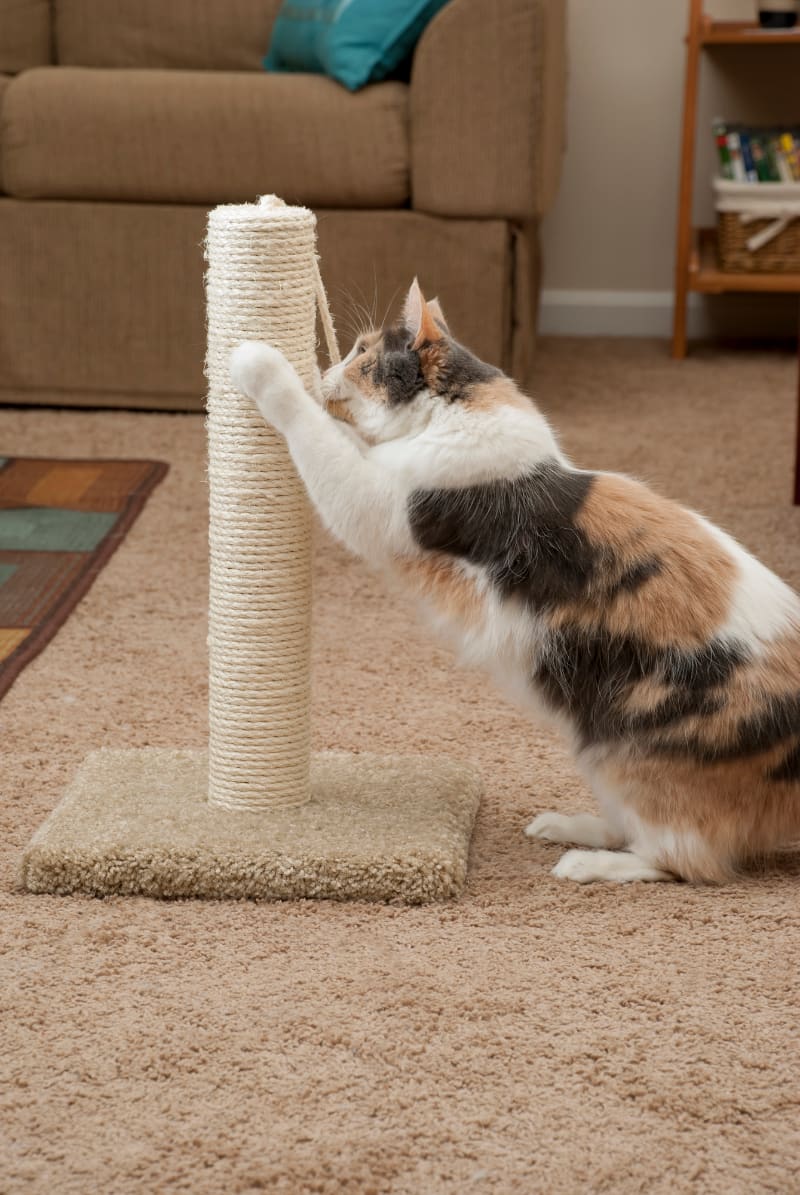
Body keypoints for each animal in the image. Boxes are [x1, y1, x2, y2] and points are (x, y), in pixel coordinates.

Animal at [229, 277, 798, 879]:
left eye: (362, 352)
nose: (328, 370)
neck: (454, 414)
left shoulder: (375, 505)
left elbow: (311, 429)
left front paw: (259, 362)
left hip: (629, 754)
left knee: (682, 859)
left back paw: (585, 863)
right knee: (640, 833)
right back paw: (566, 826)